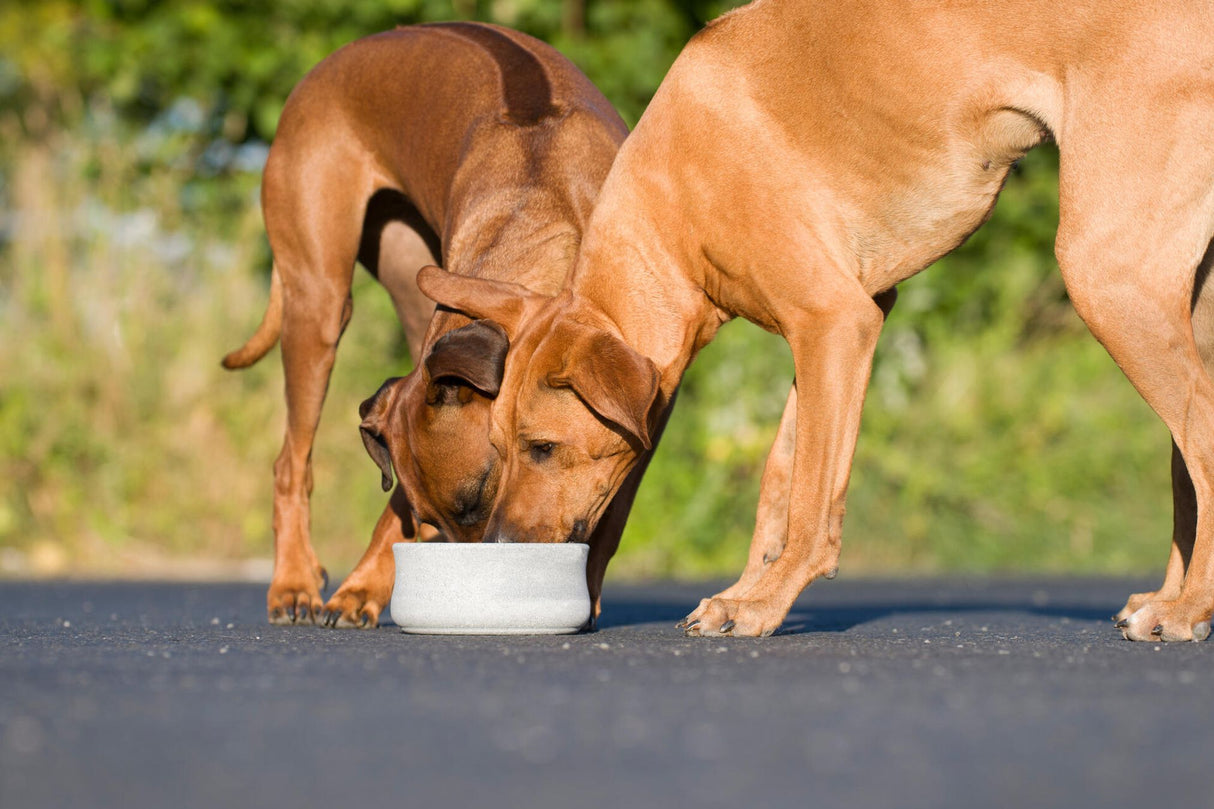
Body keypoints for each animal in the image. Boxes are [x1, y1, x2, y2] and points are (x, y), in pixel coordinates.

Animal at [224, 18, 636, 621]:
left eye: (480, 494)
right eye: (427, 521)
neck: (542, 203)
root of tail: (319, 72)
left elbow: (614, 499)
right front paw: (362, 588)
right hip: (318, 301)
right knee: (290, 463)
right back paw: (294, 580)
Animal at [415, 0, 1214, 641]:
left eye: (544, 447)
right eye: (498, 447)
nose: (501, 547)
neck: (672, 204)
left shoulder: (836, 322)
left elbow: (806, 499)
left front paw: (762, 605)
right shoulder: (835, 332)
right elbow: (780, 479)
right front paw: (749, 588)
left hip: (1107, 277)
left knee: (1201, 440)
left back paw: (1186, 610)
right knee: (1187, 464)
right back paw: (1173, 598)